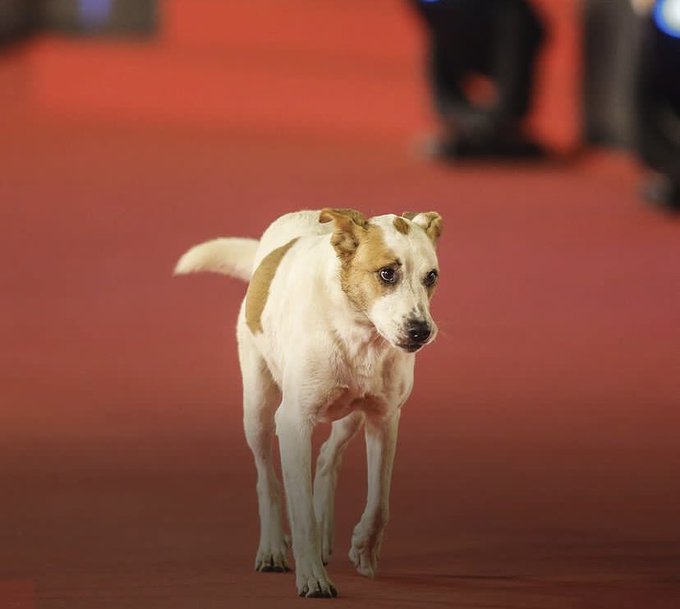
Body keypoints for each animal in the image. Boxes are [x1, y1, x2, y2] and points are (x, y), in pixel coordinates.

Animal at [175, 207, 440, 596]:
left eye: (431, 277)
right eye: (386, 273)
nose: (421, 331)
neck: (357, 332)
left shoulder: (384, 418)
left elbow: (380, 501)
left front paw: (363, 548)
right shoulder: (293, 423)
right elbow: (299, 511)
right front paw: (312, 575)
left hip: (350, 416)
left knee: (329, 456)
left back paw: (325, 528)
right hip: (257, 410)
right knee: (266, 478)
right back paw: (272, 547)